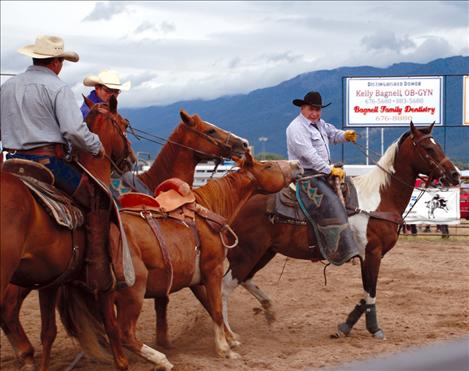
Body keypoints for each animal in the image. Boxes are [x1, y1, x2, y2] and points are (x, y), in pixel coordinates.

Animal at [115, 150, 302, 364]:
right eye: (267, 166)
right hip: (133, 293)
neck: (208, 209)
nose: (297, 165)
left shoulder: (196, 278)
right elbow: (217, 308)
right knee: (124, 333)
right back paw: (161, 359)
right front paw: (224, 349)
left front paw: (231, 340)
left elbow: (212, 307)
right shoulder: (213, 270)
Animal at [221, 122, 458, 340]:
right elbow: (371, 290)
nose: (454, 175)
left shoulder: (371, 256)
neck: (378, 200)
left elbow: (366, 291)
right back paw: (227, 335)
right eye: (428, 148)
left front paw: (345, 327)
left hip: (264, 252)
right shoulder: (371, 254)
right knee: (225, 287)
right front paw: (374, 328)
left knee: (244, 279)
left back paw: (268, 310)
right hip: (246, 252)